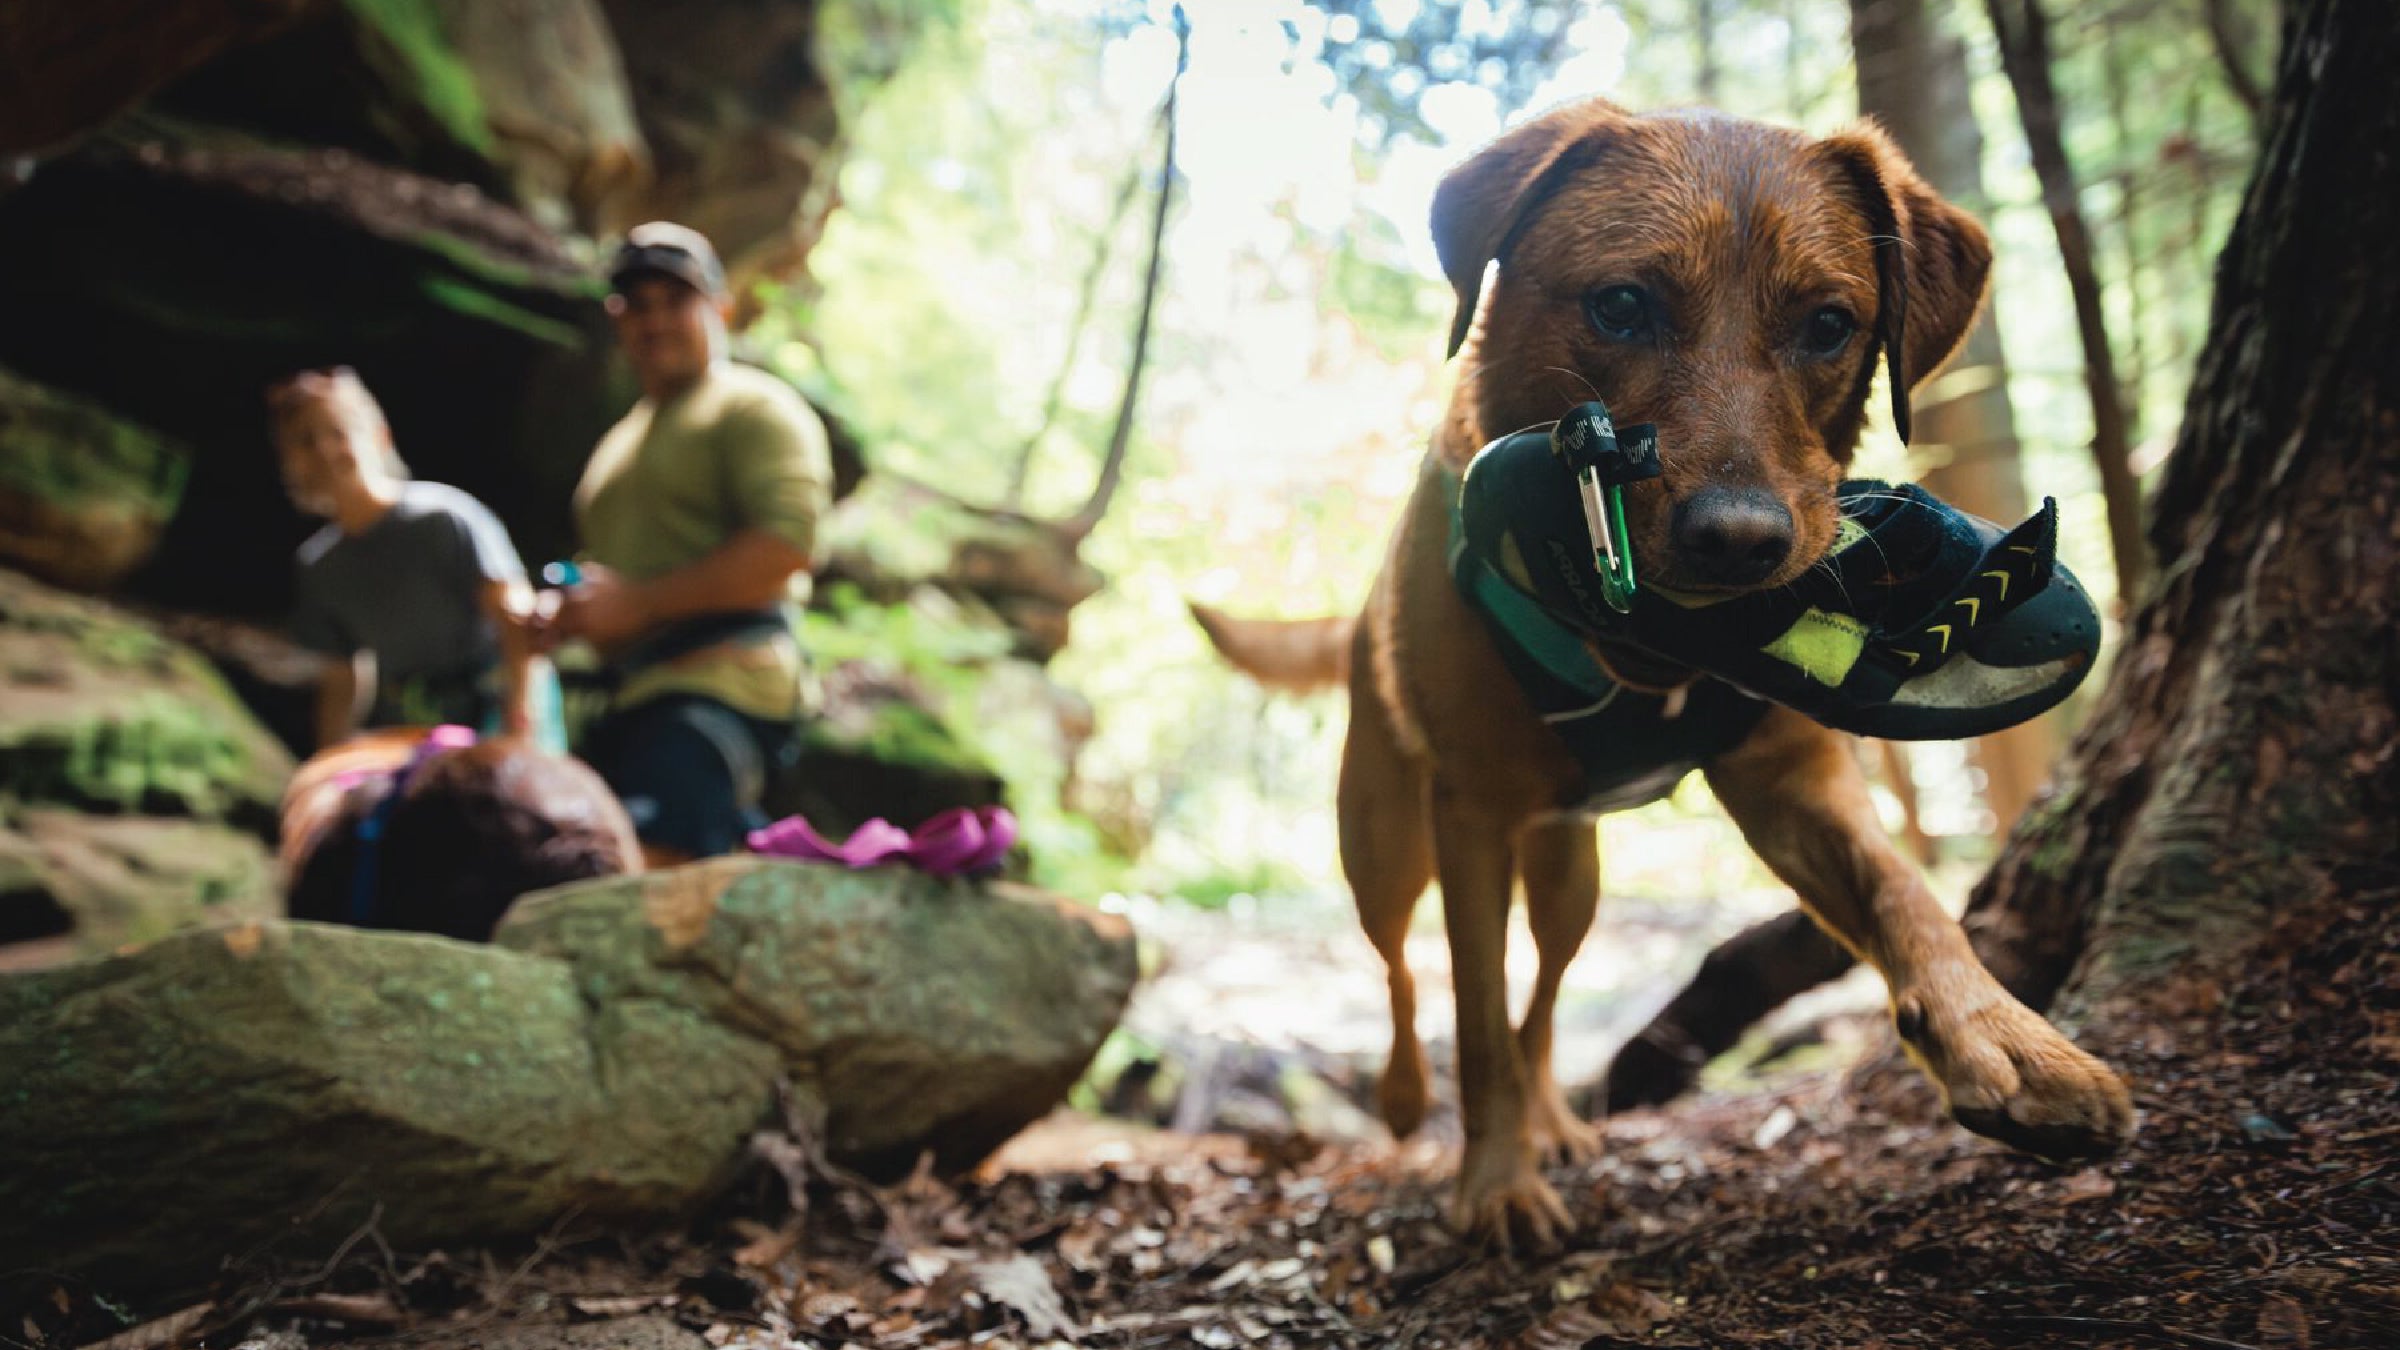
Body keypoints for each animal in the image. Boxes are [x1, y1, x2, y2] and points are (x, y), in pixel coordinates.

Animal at [1200, 99, 2140, 1249]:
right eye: (1620, 305)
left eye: (1830, 325)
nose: (1739, 540)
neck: (1644, 652)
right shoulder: (1470, 816)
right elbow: (1475, 1013)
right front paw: (1496, 1182)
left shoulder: (1792, 780)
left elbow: (1908, 896)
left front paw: (2002, 1037)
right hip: (1383, 844)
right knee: (1404, 974)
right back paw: (1409, 1098)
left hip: (1572, 879)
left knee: (1544, 997)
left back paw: (1556, 1118)